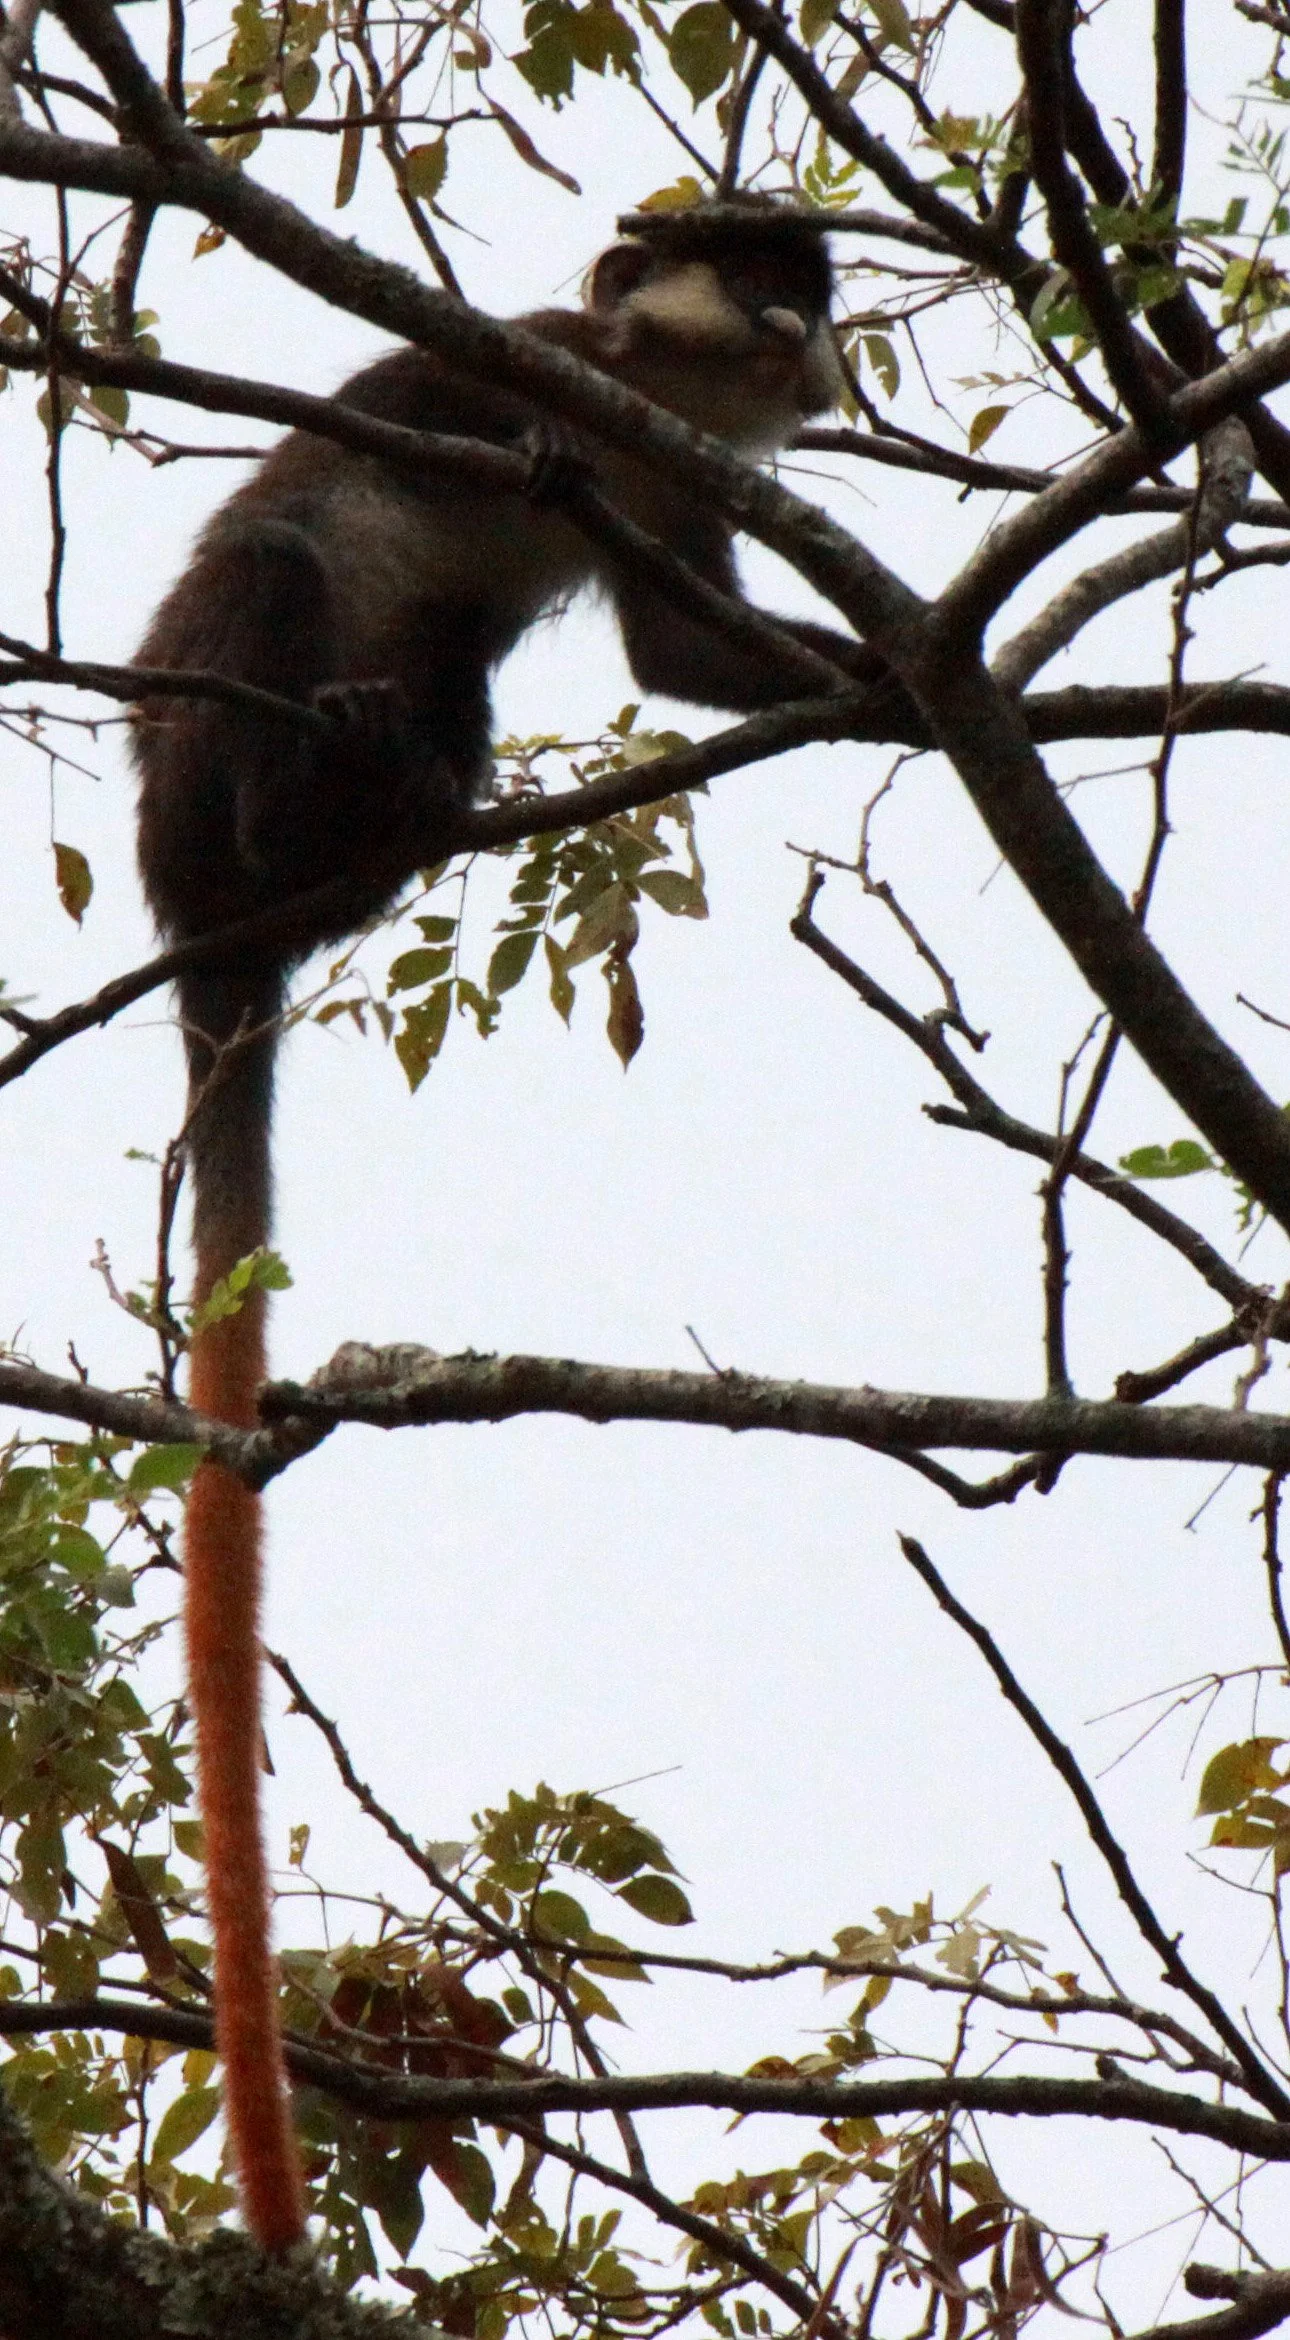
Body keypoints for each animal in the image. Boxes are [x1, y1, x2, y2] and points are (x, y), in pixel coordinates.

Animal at [132, 203, 870, 2254]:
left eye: (805, 289)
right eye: (755, 272)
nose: (793, 327)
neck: (638, 395)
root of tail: (201, 940)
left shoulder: (670, 485)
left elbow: (689, 649)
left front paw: (904, 676)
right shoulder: (528, 363)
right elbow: (422, 444)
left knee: (449, 680)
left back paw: (399, 798)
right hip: (193, 744)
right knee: (280, 567)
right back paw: (306, 788)